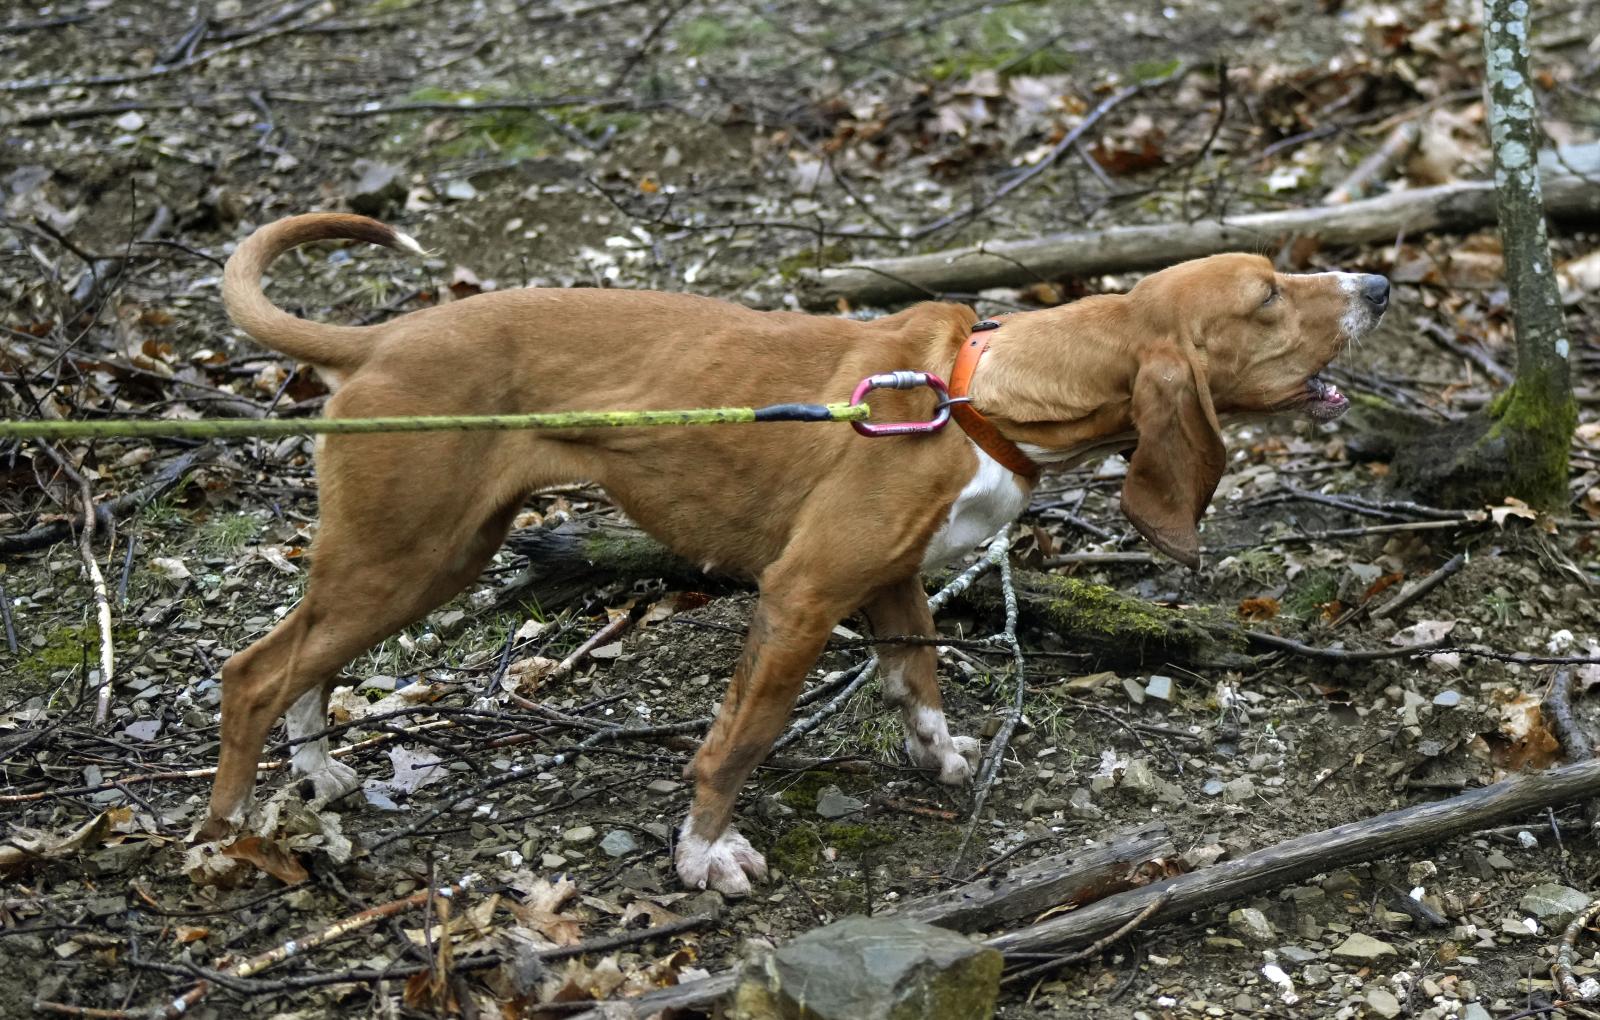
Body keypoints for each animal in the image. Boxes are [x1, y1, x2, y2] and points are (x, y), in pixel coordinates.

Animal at [200, 215, 1382, 895]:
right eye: (1266, 295)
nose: (1375, 287)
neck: (979, 397)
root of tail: (377, 339)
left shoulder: (893, 580)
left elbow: (918, 680)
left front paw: (940, 759)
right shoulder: (800, 597)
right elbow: (738, 743)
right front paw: (701, 854)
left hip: (421, 559)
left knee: (306, 663)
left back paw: (313, 776)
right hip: (407, 555)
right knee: (254, 671)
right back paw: (228, 839)